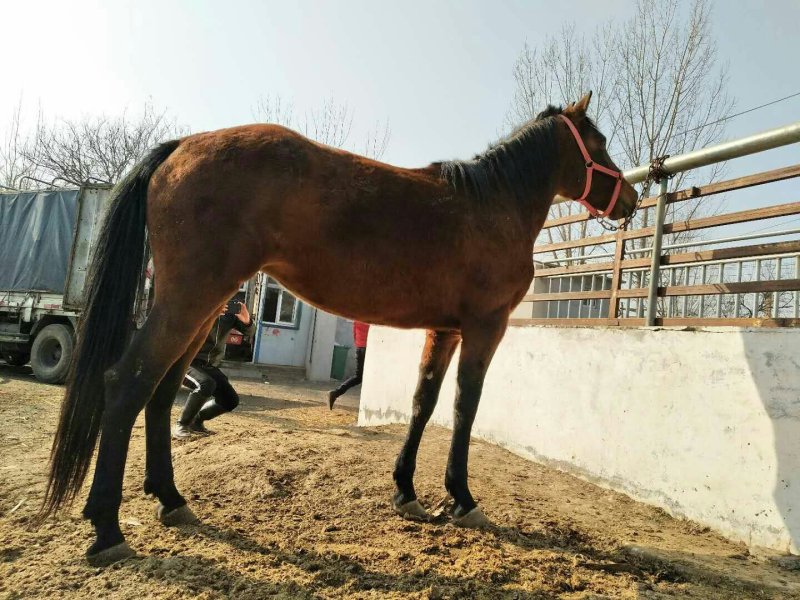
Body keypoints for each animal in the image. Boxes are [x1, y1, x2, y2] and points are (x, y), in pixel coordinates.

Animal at [39, 91, 637, 565]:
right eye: (602, 140)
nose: (630, 200)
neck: (491, 206)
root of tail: (184, 145)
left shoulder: (443, 330)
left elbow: (423, 402)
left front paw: (406, 490)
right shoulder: (484, 327)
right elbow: (465, 406)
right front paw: (461, 498)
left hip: (200, 307)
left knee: (162, 392)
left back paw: (171, 499)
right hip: (190, 299)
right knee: (128, 383)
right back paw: (107, 529)